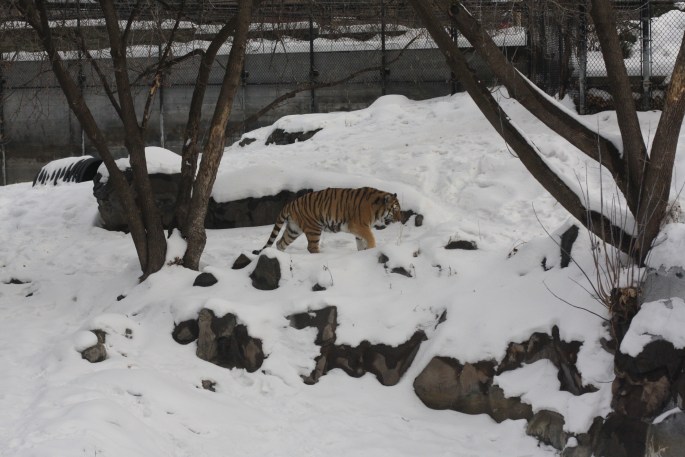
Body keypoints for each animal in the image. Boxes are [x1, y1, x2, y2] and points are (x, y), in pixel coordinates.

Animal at [254, 187, 402, 254]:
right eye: (395, 209)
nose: (400, 219)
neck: (376, 209)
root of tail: (291, 203)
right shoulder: (359, 226)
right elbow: (371, 238)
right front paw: (372, 249)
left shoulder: (359, 231)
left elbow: (361, 243)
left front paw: (363, 252)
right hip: (314, 228)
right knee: (312, 247)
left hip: (293, 229)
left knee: (280, 242)